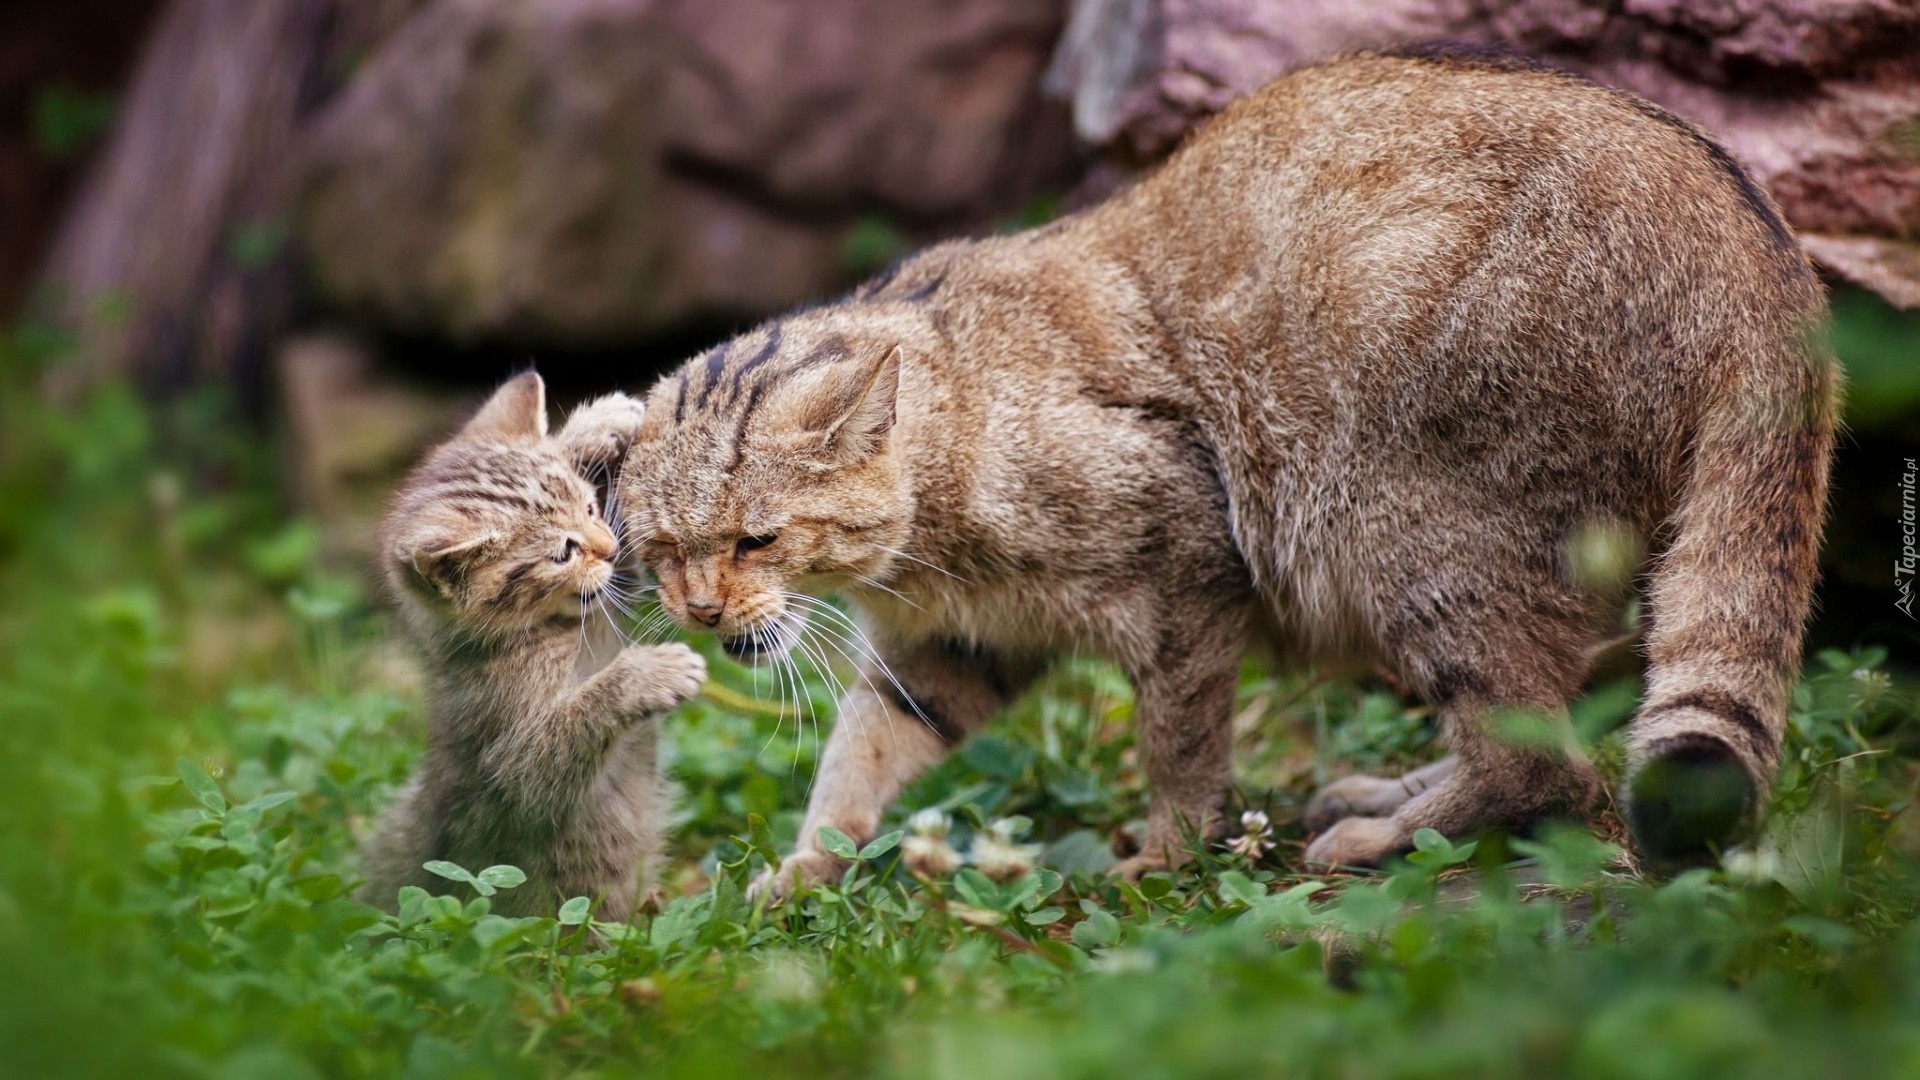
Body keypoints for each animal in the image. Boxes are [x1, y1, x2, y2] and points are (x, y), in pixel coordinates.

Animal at [359, 372, 706, 914]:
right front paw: (647, 675)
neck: (548, 630)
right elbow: (554, 751)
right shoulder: (510, 761)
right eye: (563, 552)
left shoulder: (613, 593)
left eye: (590, 507)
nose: (607, 546)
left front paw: (597, 425)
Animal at [622, 50, 1835, 887]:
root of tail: (1769, 264)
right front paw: (807, 866)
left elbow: (1180, 742)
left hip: (1410, 534)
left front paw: (1166, 853)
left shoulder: (1186, 573)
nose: (698, 611)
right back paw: (1385, 793)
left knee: (1543, 760)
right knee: (1556, 725)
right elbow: (864, 753)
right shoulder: (952, 649)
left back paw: (1379, 833)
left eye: (756, 538)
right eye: (663, 549)